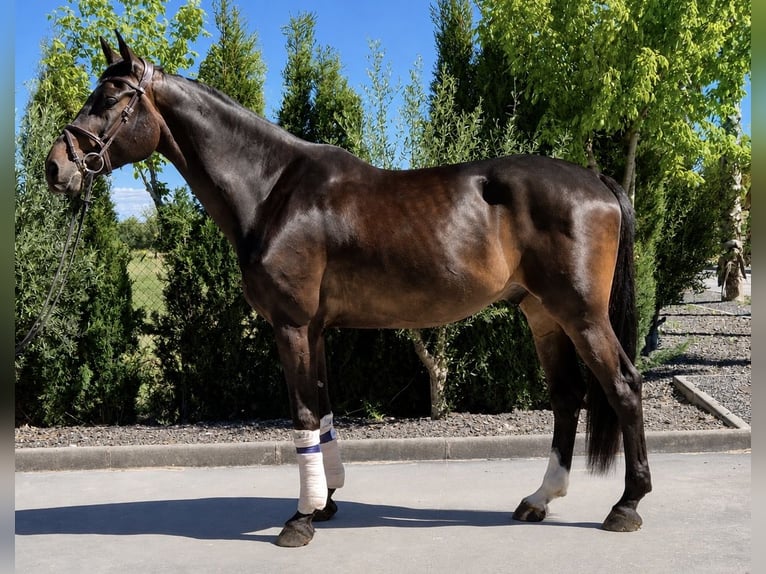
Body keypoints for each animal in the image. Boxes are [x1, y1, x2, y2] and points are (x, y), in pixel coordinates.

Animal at [46, 32, 651, 547]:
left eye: (110, 98)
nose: (55, 168)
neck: (272, 189)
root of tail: (596, 180)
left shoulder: (290, 324)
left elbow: (302, 415)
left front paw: (299, 520)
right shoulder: (313, 328)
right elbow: (324, 412)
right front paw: (326, 502)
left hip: (582, 315)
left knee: (623, 386)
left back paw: (626, 505)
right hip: (543, 315)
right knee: (567, 397)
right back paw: (539, 498)